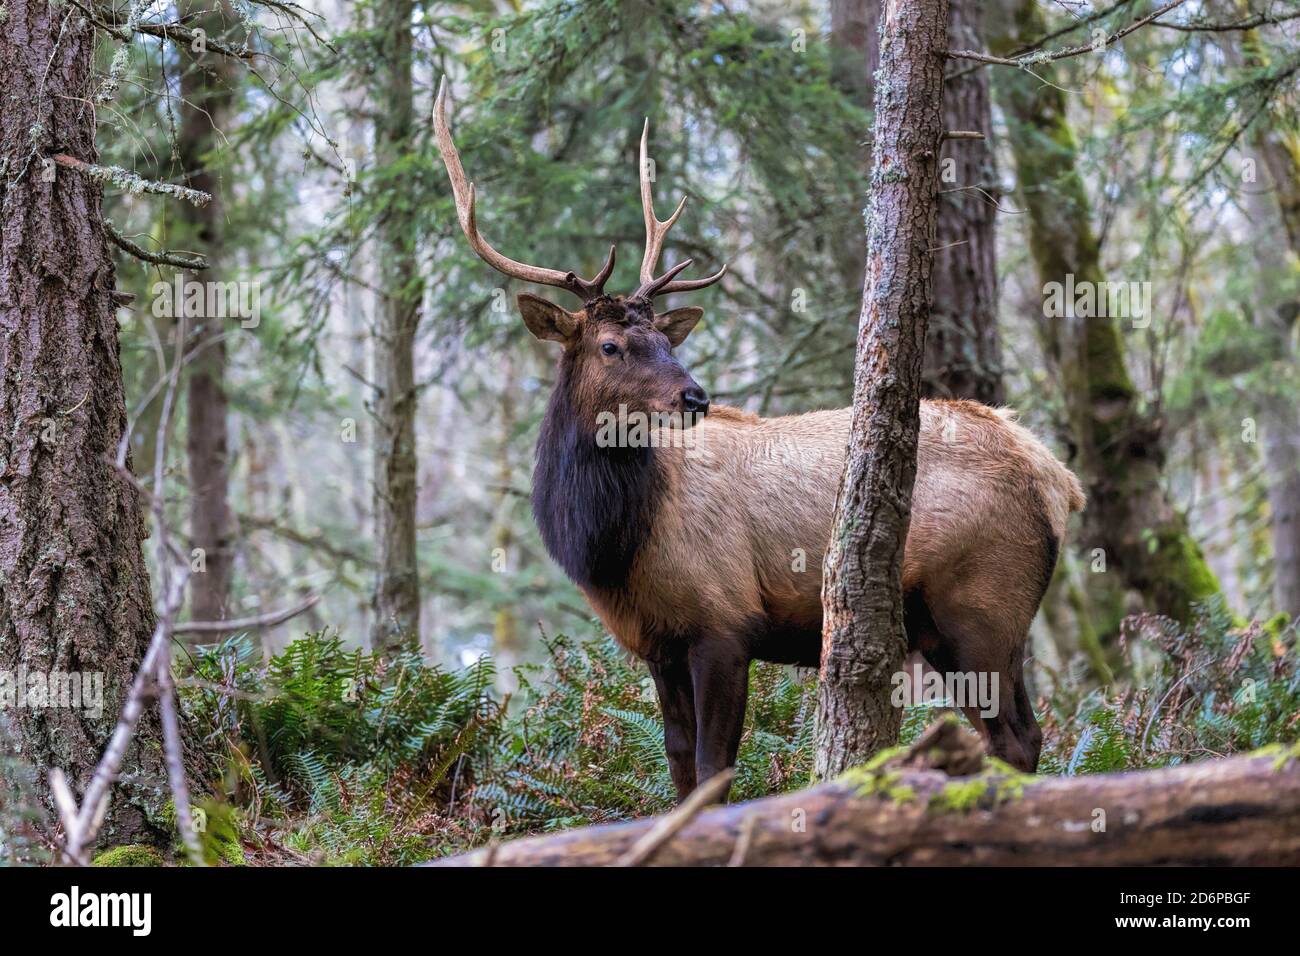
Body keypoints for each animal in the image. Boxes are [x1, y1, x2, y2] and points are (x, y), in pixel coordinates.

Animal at [433, 79, 1085, 802]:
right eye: (610, 345)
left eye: (663, 339)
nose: (695, 397)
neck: (611, 545)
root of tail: (1058, 479)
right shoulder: (658, 645)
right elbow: (679, 764)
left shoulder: (724, 622)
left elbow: (715, 768)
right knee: (1022, 735)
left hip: (981, 607)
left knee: (1015, 737)